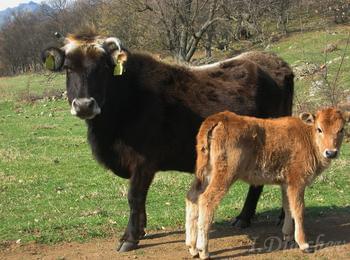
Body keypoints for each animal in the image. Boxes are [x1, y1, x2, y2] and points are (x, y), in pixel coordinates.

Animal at [185, 107, 348, 258]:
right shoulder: (297, 182)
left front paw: (287, 236)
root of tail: (220, 118)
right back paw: (203, 250)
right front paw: (303, 244)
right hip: (224, 175)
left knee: (192, 196)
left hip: (204, 174)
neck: (308, 137)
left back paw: (192, 247)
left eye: (341, 129)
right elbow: (299, 210)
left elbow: (288, 207)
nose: (331, 152)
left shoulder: (285, 184)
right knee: (207, 199)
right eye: (319, 129)